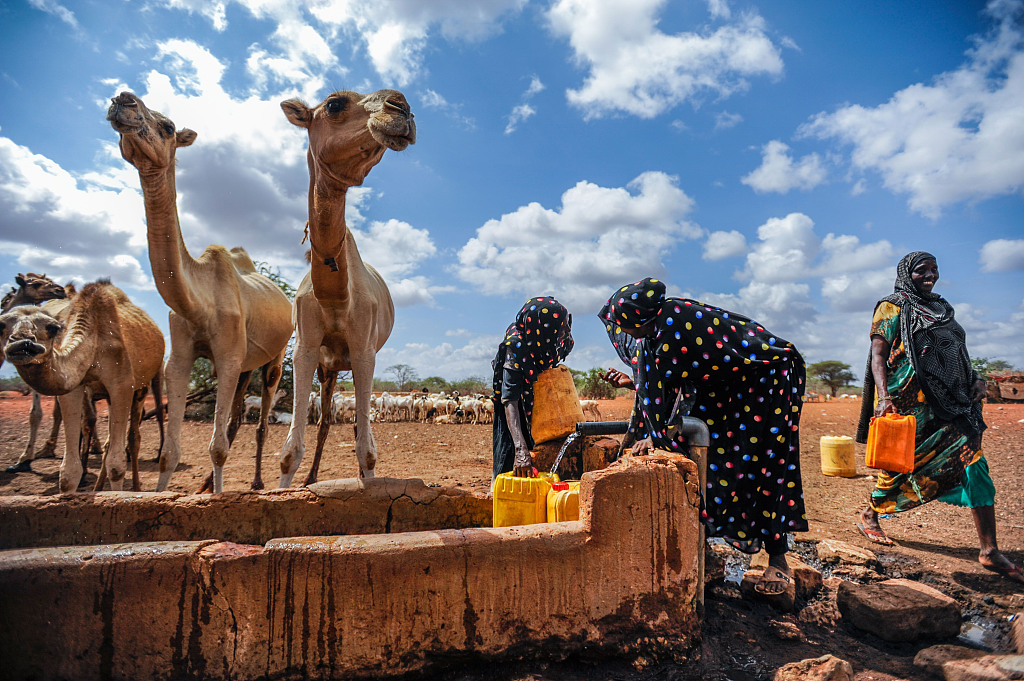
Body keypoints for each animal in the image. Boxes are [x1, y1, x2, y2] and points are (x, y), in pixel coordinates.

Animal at [0, 278, 162, 491]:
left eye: (52, 327)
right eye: (1, 325)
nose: (22, 344)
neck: (94, 341)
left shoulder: (122, 385)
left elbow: (116, 466)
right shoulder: (73, 389)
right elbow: (69, 472)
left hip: (143, 386)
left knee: (134, 437)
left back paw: (135, 487)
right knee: (111, 441)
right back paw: (99, 486)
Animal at [108, 91, 292, 493]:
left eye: (168, 127)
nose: (123, 99)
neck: (199, 300)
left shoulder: (228, 355)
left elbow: (217, 448)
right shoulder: (179, 357)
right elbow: (169, 453)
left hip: (275, 356)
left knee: (258, 423)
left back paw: (257, 482)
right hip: (247, 364)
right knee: (236, 420)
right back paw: (207, 485)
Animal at [276, 90, 415, 483]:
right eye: (334, 104)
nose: (401, 108)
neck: (335, 295)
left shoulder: (364, 349)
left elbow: (367, 450)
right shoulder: (305, 346)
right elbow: (289, 453)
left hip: (348, 364)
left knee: (351, 427)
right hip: (330, 368)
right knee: (324, 422)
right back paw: (311, 479)